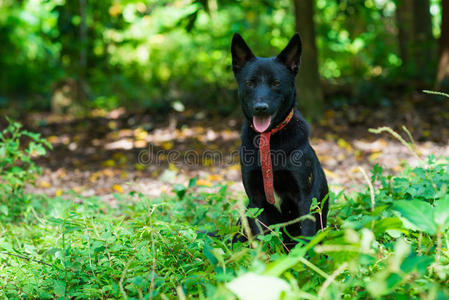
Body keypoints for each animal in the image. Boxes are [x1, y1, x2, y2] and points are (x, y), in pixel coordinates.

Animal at [233, 33, 328, 248]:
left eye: (276, 83)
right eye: (250, 83)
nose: (260, 108)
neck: (269, 140)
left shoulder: (306, 199)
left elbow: (306, 236)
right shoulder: (256, 201)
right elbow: (262, 238)